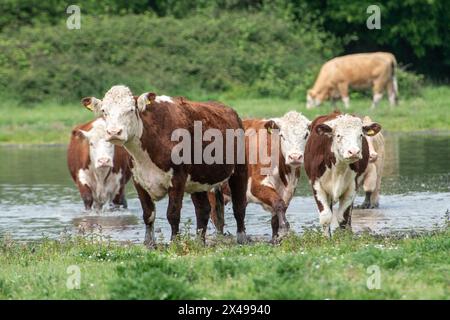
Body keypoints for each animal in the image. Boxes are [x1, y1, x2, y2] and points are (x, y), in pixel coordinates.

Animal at [81, 85, 250, 248]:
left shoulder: (177, 179)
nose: (114, 132)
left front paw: (174, 242)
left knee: (239, 206)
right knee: (203, 209)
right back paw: (199, 242)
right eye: (104, 111)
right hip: (198, 179)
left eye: (130, 110)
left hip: (240, 170)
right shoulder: (138, 180)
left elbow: (173, 214)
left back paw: (242, 238)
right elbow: (148, 214)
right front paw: (149, 243)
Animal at [209, 111, 312, 241]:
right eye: (282, 135)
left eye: (306, 135)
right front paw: (284, 229)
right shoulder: (255, 186)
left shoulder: (289, 190)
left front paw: (275, 239)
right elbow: (279, 203)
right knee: (215, 216)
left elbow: (276, 217)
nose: (295, 157)